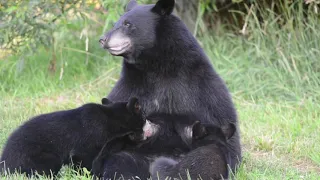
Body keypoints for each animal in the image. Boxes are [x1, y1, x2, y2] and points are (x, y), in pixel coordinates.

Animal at [0, 97, 144, 177]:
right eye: (142, 116)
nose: (146, 122)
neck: (111, 120)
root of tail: (4, 162)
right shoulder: (85, 148)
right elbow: (84, 163)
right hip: (42, 157)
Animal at [99, 0, 241, 177]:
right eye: (115, 24)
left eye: (128, 24)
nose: (103, 39)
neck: (158, 68)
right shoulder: (129, 87)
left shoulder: (204, 88)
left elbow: (224, 128)